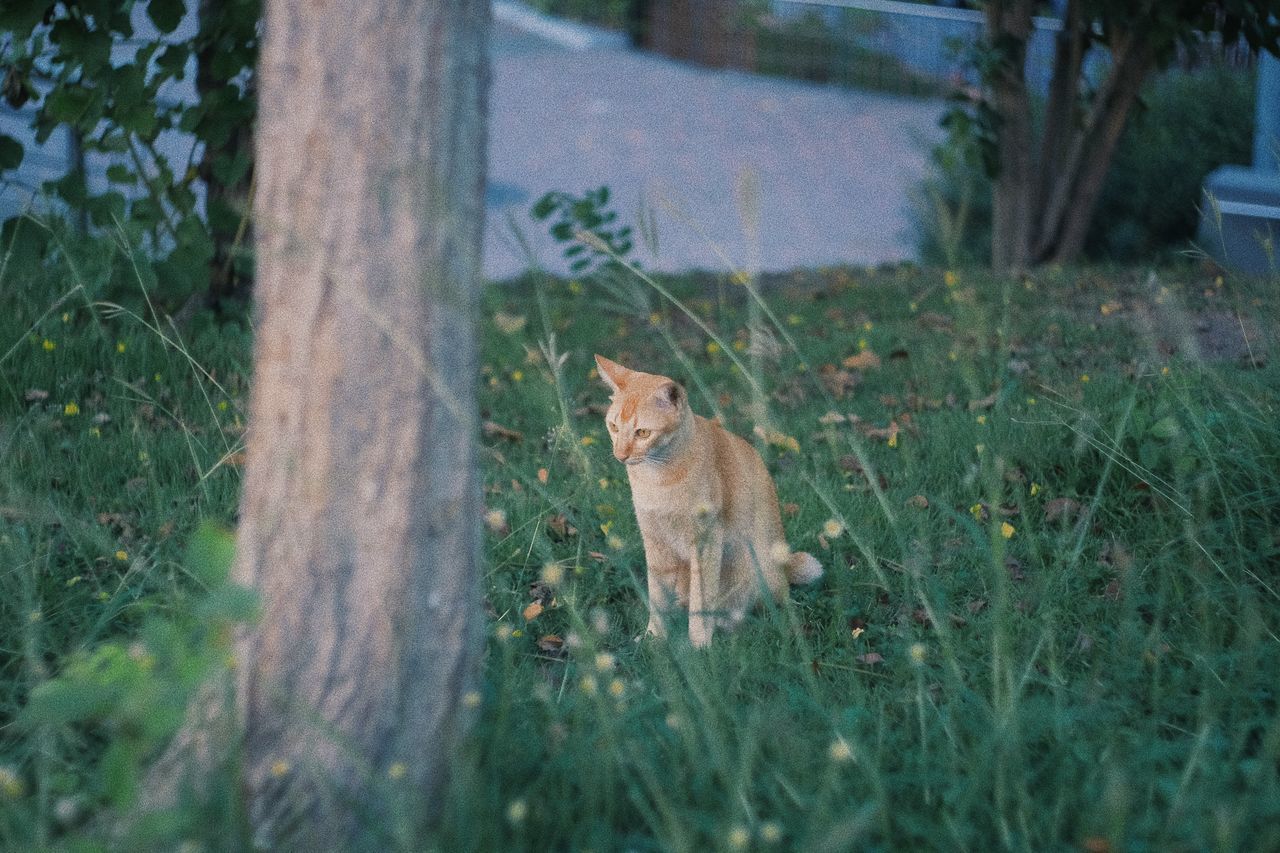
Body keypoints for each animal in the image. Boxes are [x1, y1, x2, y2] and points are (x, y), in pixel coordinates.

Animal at [593, 353, 824, 645]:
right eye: (613, 427)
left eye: (642, 433)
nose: (620, 455)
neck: (657, 479)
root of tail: (783, 571)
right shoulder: (656, 544)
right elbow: (657, 598)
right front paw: (654, 639)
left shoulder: (705, 542)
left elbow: (701, 602)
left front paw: (700, 645)